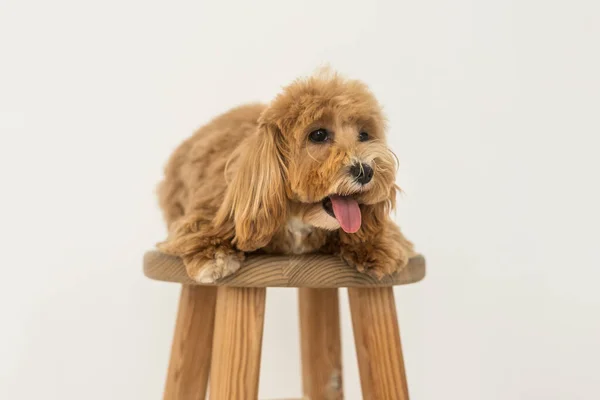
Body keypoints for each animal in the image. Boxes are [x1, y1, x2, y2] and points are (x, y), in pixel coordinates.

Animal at [157, 72, 414, 284]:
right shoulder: (212, 206)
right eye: (318, 135)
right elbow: (198, 229)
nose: (365, 171)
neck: (298, 215)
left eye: (364, 135)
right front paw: (215, 257)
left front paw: (375, 246)